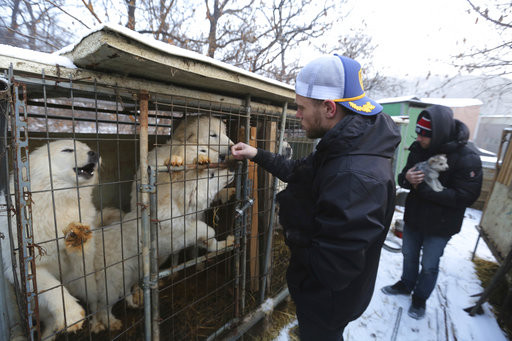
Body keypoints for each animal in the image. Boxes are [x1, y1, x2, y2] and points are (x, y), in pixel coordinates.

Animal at [0, 139, 100, 338]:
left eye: (87, 148)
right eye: (68, 150)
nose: (95, 153)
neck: (59, 200)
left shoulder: (80, 263)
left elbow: (81, 252)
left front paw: (77, 238)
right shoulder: (28, 268)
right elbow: (54, 287)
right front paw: (70, 315)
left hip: (88, 286)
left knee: (96, 303)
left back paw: (101, 322)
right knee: (50, 322)